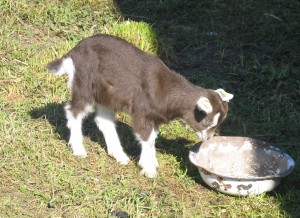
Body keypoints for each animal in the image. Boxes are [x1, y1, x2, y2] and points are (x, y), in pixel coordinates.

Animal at [48, 33, 233, 177]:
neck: (165, 89)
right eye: (207, 122)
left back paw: (119, 155)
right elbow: (146, 137)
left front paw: (152, 161)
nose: (208, 139)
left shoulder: (154, 117)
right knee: (74, 111)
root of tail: (73, 52)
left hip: (107, 95)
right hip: (85, 84)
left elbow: (152, 138)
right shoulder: (142, 112)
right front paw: (149, 168)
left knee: (104, 121)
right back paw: (78, 148)